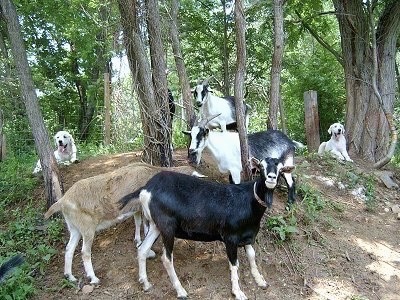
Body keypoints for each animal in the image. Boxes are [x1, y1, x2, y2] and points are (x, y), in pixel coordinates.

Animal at [43, 163, 203, 284]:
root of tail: (62, 201)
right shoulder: (143, 208)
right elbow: (146, 227)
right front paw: (149, 251)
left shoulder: (136, 209)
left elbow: (138, 222)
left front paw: (138, 241)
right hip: (87, 228)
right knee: (84, 252)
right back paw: (93, 278)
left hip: (74, 227)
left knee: (69, 248)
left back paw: (70, 276)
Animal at [119, 157, 294, 300]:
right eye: (261, 167)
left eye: (280, 169)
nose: (271, 178)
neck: (249, 200)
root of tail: (146, 189)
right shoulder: (230, 238)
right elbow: (234, 264)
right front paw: (238, 292)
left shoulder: (248, 236)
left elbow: (252, 256)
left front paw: (260, 280)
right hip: (167, 227)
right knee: (167, 259)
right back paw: (181, 291)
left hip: (156, 226)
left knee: (142, 249)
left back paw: (145, 283)